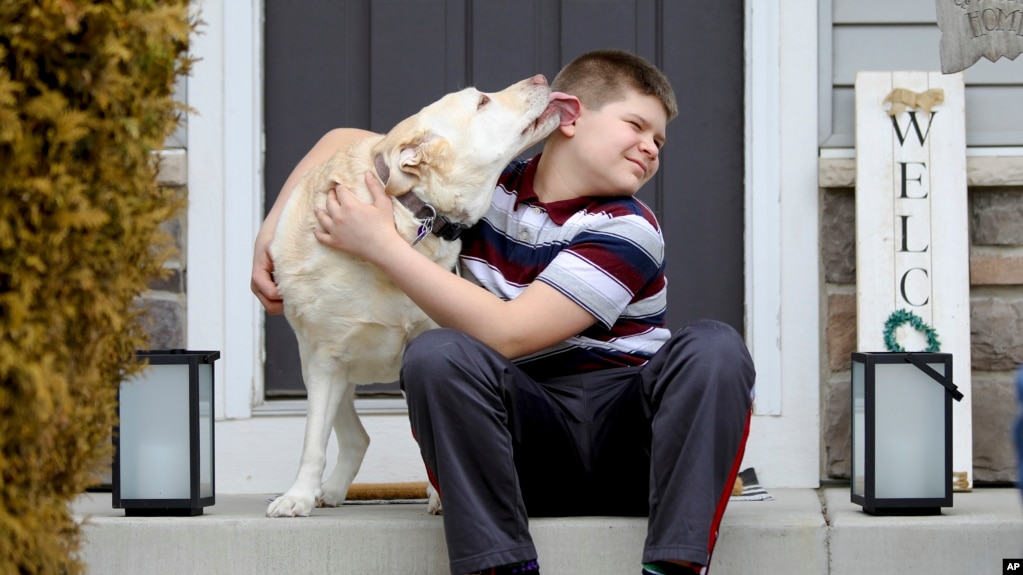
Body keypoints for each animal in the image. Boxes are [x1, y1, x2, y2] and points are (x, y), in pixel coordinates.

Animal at [268, 73, 581, 517]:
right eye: (482, 103)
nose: (539, 78)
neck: (408, 218)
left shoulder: (423, 341)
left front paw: (440, 495)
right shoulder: (326, 359)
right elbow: (313, 441)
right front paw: (297, 496)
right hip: (313, 365)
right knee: (351, 435)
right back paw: (327, 491)